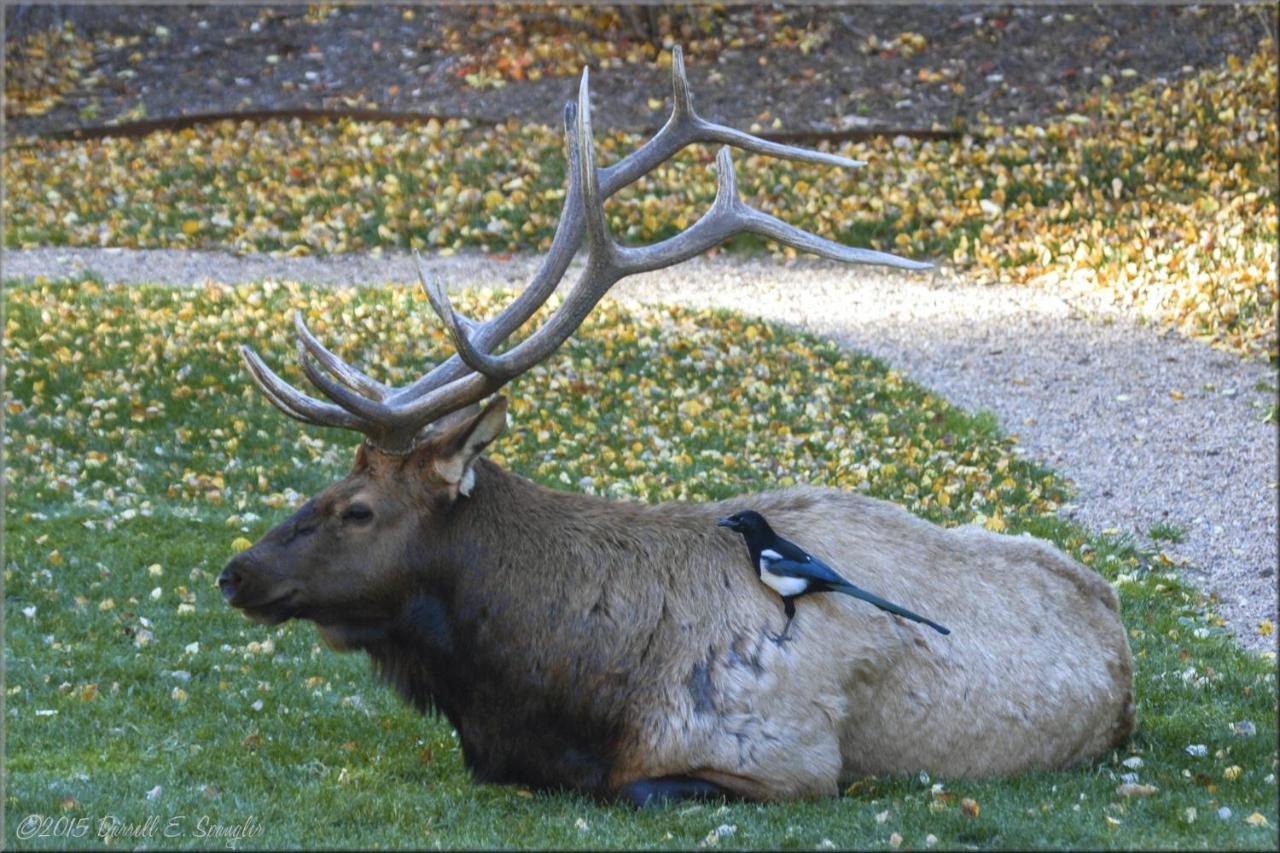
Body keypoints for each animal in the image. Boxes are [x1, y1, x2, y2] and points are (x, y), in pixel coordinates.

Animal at [220, 49, 1131, 799]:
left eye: (358, 509)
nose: (236, 572)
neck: (565, 688)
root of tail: (1121, 631)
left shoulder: (781, 759)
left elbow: (636, 788)